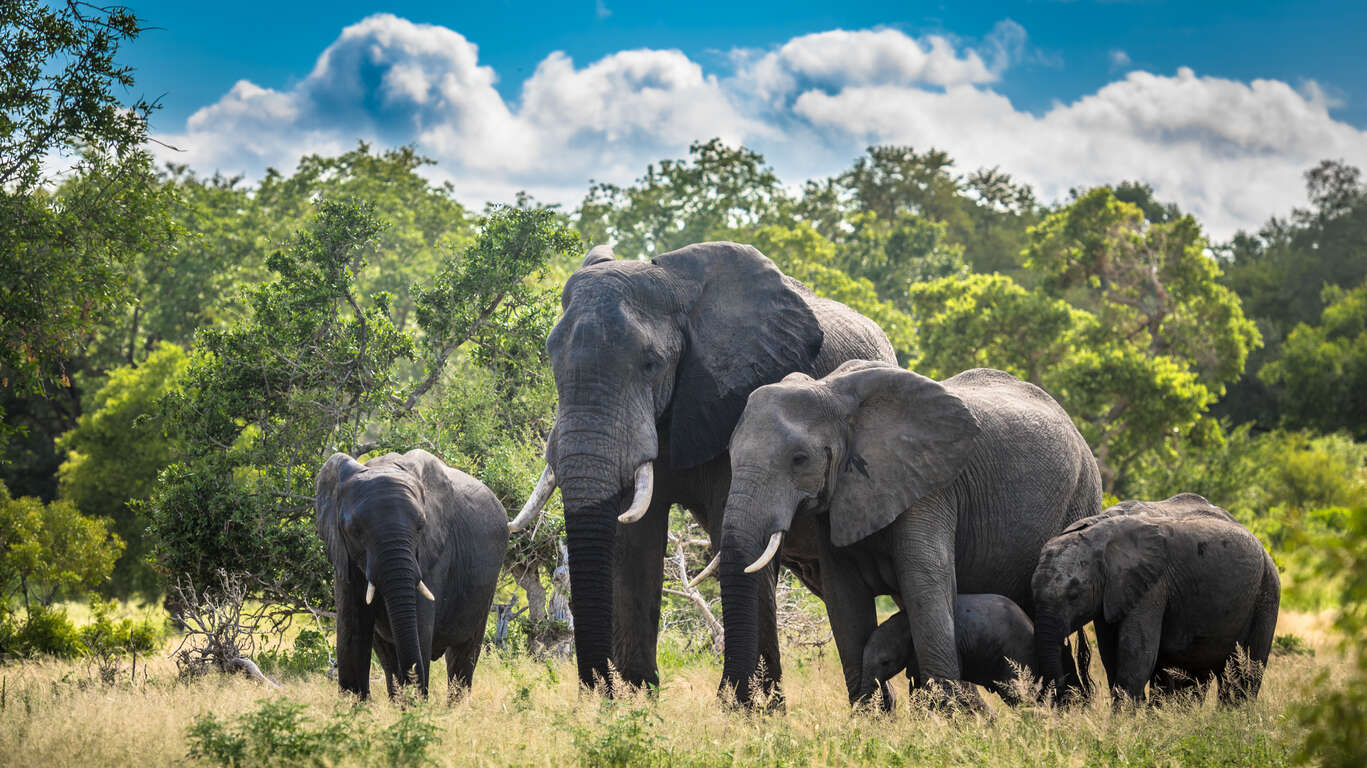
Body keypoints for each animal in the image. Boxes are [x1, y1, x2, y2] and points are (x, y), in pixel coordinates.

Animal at [314, 445, 508, 696]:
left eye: (421, 526)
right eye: (354, 530)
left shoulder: (434, 551)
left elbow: (419, 626)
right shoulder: (342, 554)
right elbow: (352, 629)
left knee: (462, 656)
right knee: (388, 659)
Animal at [513, 240, 896, 694]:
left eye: (650, 363)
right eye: (551, 357)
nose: (598, 689)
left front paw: (749, 705)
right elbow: (635, 541)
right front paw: (636, 699)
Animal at [1033, 491, 1279, 705]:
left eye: (1074, 595)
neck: (1097, 529)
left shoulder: (1152, 586)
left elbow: (1137, 655)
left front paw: (1123, 722)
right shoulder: (1112, 594)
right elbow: (1111, 654)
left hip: (1266, 594)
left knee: (1243, 674)